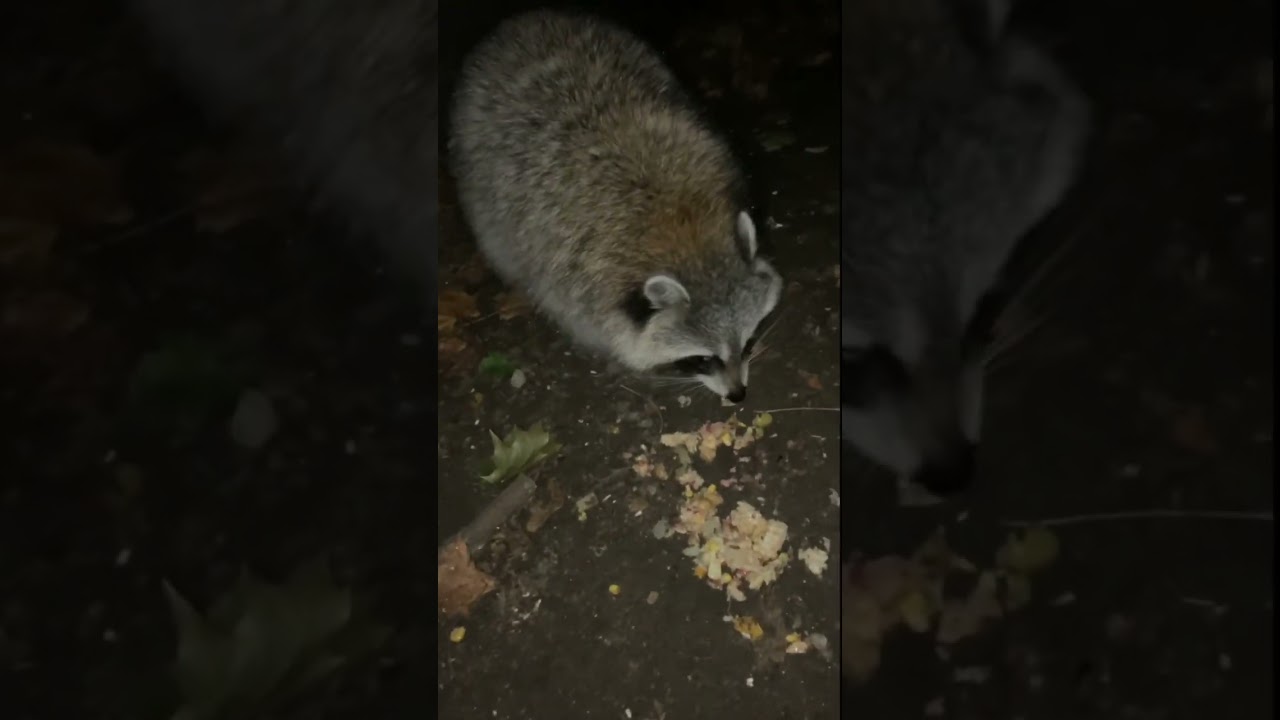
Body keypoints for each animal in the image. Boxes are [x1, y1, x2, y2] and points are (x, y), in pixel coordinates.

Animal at [449, 10, 782, 403]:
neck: (684, 230)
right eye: (703, 358)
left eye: (748, 341)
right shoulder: (568, 264)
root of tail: (524, 19)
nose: (737, 395)